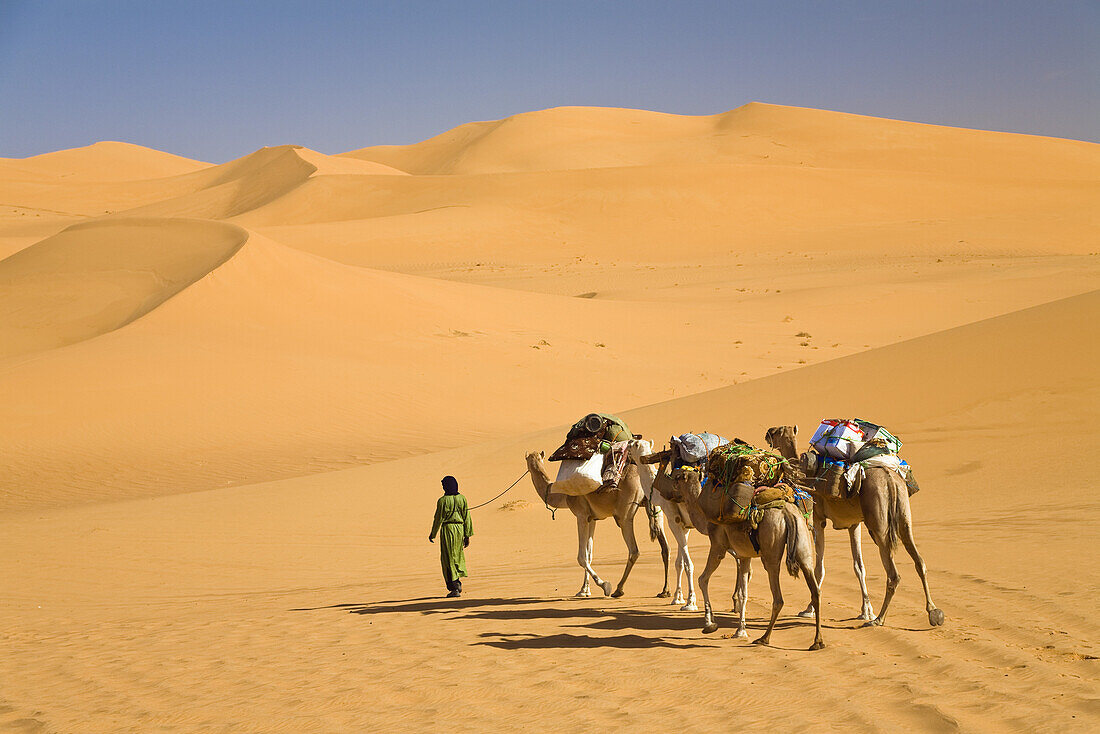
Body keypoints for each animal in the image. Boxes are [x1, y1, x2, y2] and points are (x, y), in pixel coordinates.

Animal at [523, 444, 668, 598]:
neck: (563, 496)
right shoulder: (591, 518)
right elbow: (589, 555)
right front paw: (584, 590)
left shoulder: (581, 515)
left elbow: (581, 557)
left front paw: (604, 585)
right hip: (655, 506)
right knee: (665, 547)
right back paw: (665, 591)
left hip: (624, 515)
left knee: (634, 550)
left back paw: (618, 589)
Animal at [765, 426, 946, 629]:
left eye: (777, 431)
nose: (767, 433)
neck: (806, 476)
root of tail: (890, 481)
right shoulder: (854, 524)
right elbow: (859, 566)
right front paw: (865, 610)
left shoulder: (819, 519)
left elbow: (820, 568)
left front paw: (809, 609)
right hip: (904, 516)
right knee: (919, 561)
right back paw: (933, 612)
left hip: (879, 523)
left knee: (894, 573)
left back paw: (879, 619)